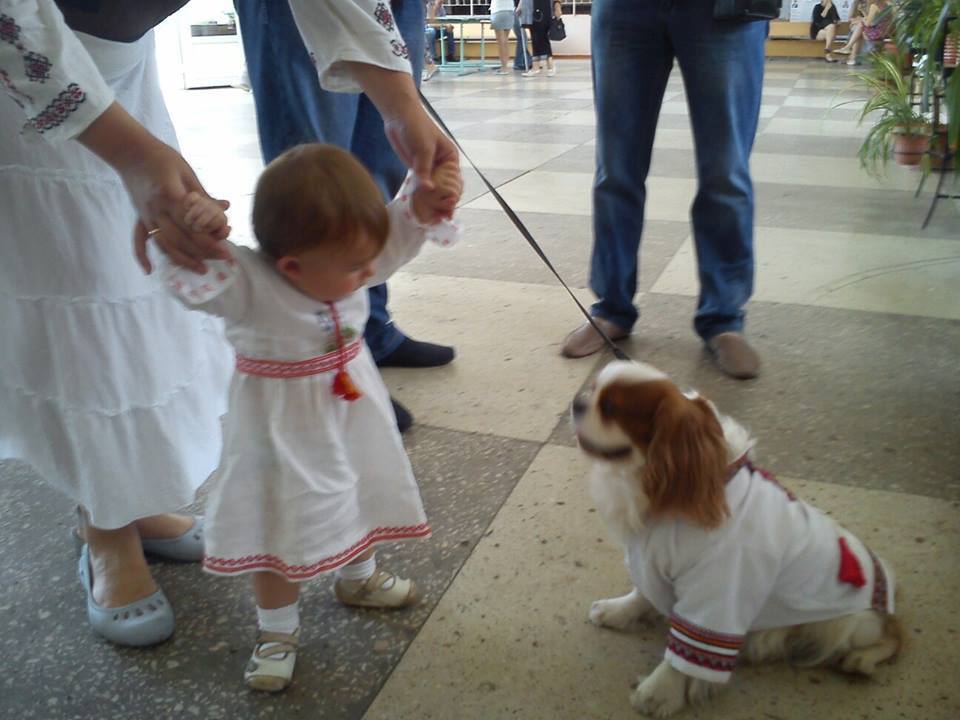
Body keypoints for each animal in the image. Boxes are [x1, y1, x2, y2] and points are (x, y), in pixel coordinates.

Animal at [568, 362, 900, 716]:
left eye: (609, 407)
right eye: (593, 389)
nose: (577, 402)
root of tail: (890, 596)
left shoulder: (718, 591)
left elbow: (686, 652)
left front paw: (660, 692)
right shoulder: (652, 564)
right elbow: (641, 595)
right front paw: (617, 612)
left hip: (845, 624)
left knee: (894, 638)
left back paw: (861, 659)